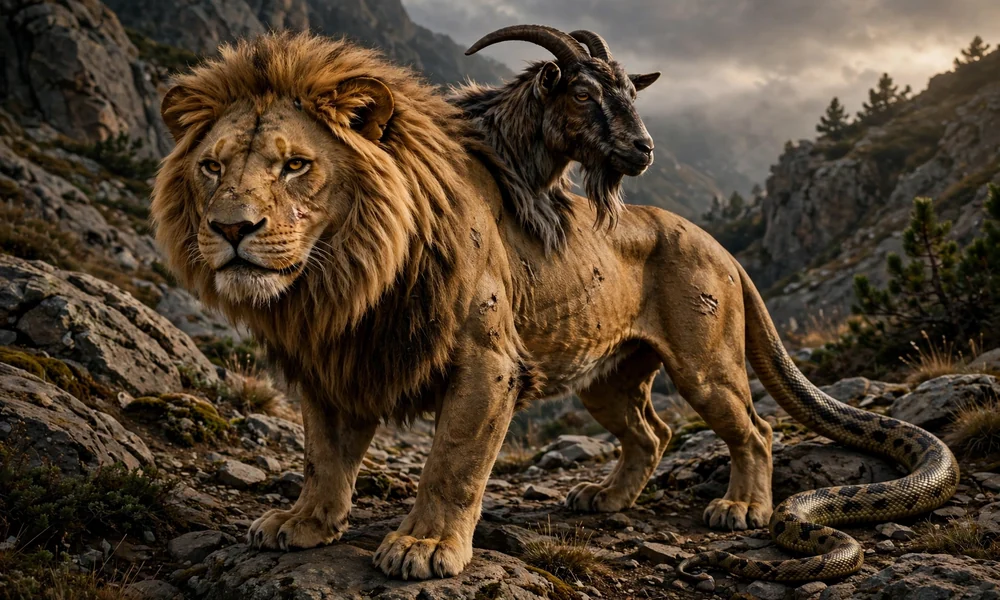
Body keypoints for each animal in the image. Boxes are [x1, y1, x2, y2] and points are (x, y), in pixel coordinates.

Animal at [152, 32, 957, 582]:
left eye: (296, 165)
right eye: (211, 166)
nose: (231, 229)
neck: (345, 279)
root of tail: (722, 246)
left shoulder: (487, 362)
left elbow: (454, 462)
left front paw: (423, 547)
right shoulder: (331, 364)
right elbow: (323, 457)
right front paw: (303, 524)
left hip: (705, 363)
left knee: (754, 430)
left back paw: (742, 510)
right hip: (606, 376)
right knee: (653, 432)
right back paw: (605, 501)